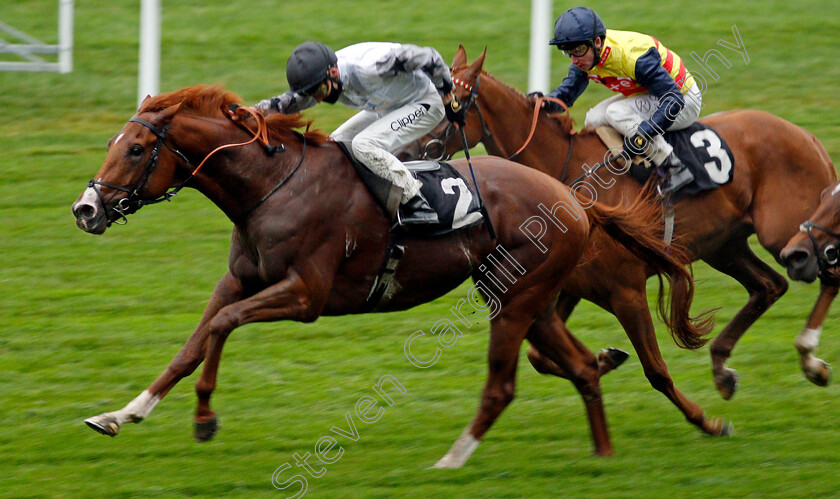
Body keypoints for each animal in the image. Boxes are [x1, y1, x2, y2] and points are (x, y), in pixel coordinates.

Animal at [70, 85, 704, 464]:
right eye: (114, 142)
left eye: (135, 150)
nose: (86, 209)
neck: (271, 187)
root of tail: (572, 198)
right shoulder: (240, 281)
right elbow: (193, 343)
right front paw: (121, 414)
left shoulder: (305, 295)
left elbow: (222, 326)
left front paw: (204, 417)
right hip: (529, 298)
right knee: (580, 368)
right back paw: (603, 454)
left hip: (518, 299)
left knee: (503, 385)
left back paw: (452, 459)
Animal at [404, 47, 836, 398]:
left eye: (445, 105)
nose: (406, 154)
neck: (566, 171)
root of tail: (807, 135)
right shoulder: (570, 283)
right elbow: (537, 356)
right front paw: (606, 358)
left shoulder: (621, 283)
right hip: (723, 245)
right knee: (768, 286)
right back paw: (723, 368)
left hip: (785, 231)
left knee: (826, 272)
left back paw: (810, 358)